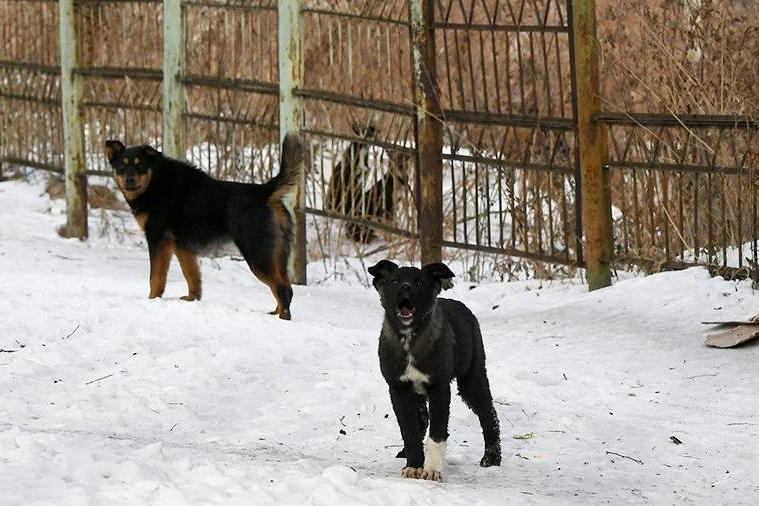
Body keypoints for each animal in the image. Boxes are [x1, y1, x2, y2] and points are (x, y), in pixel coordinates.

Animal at [104, 132, 306, 318]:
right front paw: (192, 299)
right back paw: (275, 313)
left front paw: (152, 301)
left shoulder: (158, 239)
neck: (156, 181)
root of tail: (264, 192)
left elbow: (156, 278)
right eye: (122, 165)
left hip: (257, 253)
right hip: (277, 253)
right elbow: (192, 275)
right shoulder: (181, 245)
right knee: (285, 287)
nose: (129, 179)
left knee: (282, 289)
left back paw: (283, 318)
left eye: (139, 164)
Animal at [366, 260, 502, 482]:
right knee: (422, 419)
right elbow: (410, 430)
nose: (405, 287)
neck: (410, 339)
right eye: (394, 281)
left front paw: (431, 470)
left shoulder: (439, 387)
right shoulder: (399, 388)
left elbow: (437, 432)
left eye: (419, 282)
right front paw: (414, 465)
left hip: (472, 378)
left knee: (489, 414)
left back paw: (492, 457)